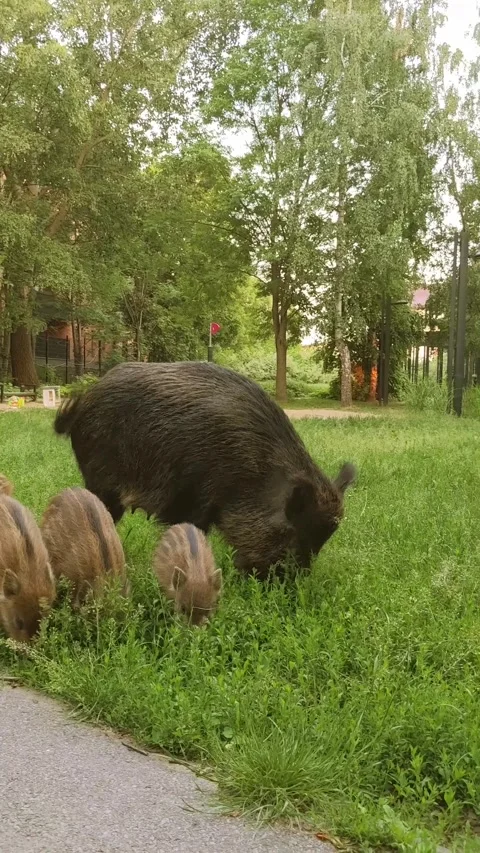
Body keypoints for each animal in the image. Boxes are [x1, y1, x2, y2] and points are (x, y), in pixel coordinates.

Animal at [54, 361, 356, 579]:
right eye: (294, 531)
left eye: (322, 540)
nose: (291, 582)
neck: (251, 475)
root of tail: (82, 403)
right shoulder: (192, 497)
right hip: (100, 479)